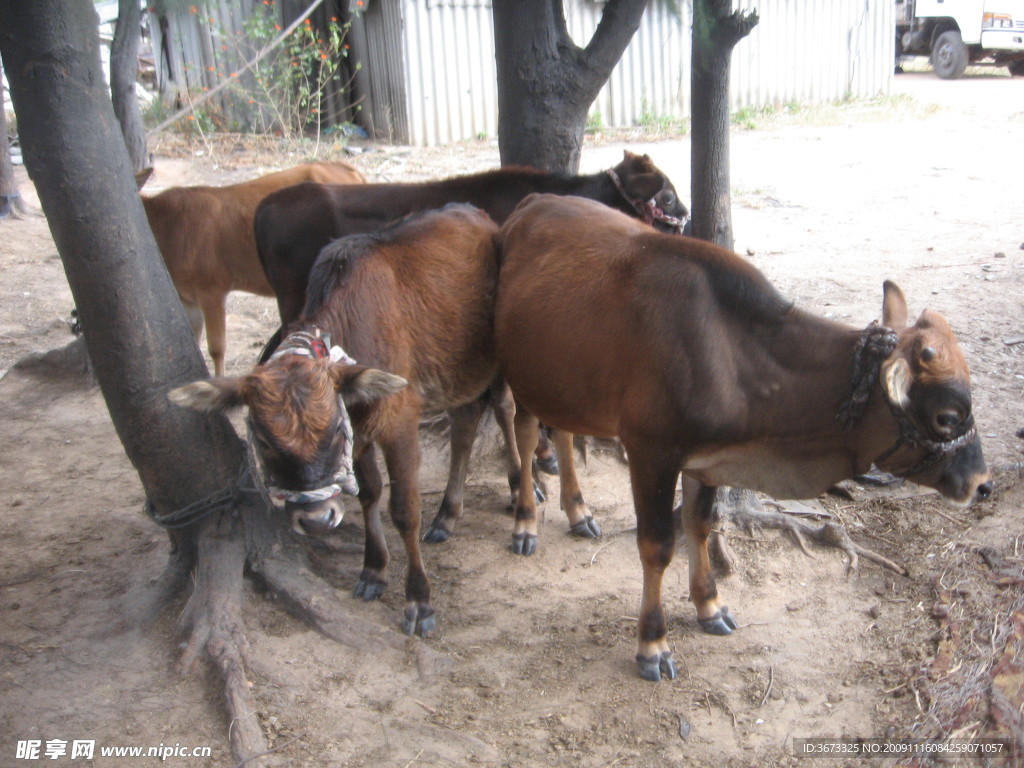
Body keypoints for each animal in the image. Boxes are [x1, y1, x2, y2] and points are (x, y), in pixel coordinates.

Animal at [168, 204, 507, 638]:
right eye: (264, 442)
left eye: (331, 433)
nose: (316, 521)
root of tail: (475, 213)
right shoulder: (360, 433)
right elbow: (369, 494)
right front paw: (373, 570)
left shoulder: (398, 423)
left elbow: (404, 509)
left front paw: (419, 600)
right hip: (457, 373)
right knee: (464, 426)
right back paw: (447, 515)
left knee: (507, 413)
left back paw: (525, 501)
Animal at [495, 195, 991, 684]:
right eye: (947, 417)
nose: (981, 483)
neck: (730, 353)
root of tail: (533, 201)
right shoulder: (651, 452)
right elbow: (657, 547)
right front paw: (653, 644)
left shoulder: (706, 459)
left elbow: (699, 525)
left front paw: (709, 605)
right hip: (520, 375)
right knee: (524, 431)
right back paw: (525, 521)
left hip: (562, 384)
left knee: (562, 432)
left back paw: (579, 512)